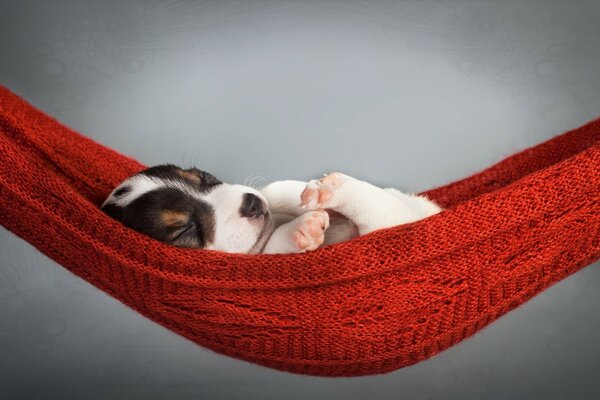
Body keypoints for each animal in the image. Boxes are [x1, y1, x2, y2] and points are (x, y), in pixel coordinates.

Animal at [102, 165, 440, 253]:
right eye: (186, 229)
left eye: (205, 178)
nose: (251, 204)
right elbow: (276, 244)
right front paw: (303, 230)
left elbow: (275, 189)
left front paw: (303, 196)